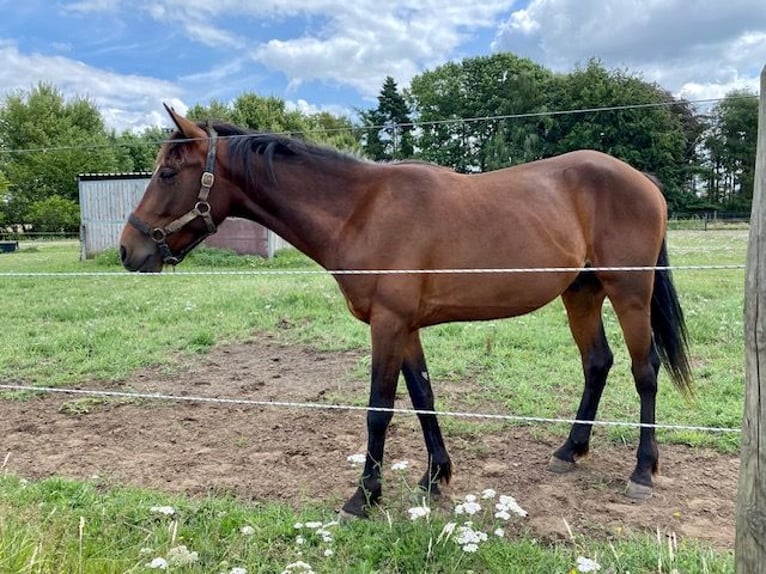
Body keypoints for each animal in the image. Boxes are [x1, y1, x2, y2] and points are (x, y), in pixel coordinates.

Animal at [121, 106, 696, 520]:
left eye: (167, 172)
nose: (130, 250)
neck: (361, 210)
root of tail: (642, 181)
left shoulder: (389, 324)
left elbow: (380, 408)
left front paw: (363, 497)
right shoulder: (408, 328)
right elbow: (423, 398)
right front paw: (434, 478)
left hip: (629, 293)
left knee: (644, 371)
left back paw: (642, 472)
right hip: (581, 293)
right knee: (597, 364)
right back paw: (569, 451)